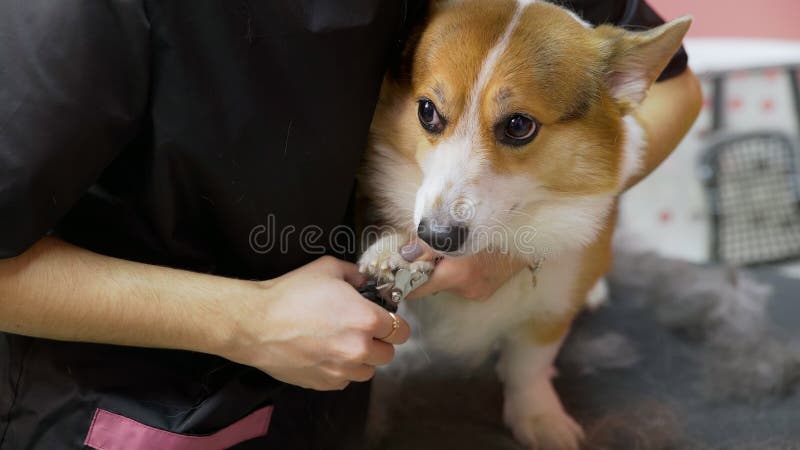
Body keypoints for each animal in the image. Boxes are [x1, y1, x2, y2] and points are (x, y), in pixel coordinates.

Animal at [356, 1, 688, 448]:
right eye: (427, 112)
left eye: (518, 125)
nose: (435, 236)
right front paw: (394, 250)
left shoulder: (552, 305)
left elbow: (528, 366)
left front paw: (540, 418)